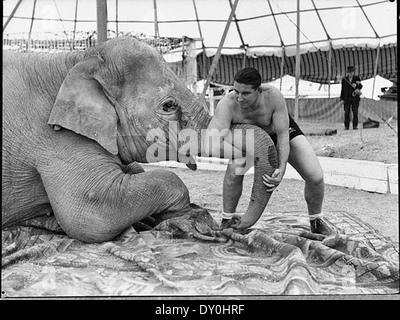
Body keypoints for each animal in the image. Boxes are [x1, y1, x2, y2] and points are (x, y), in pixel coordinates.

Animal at [2, 36, 278, 242]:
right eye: (169, 105)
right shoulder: (52, 135)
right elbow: (92, 210)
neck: (77, 59)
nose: (234, 223)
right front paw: (186, 219)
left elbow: (132, 171)